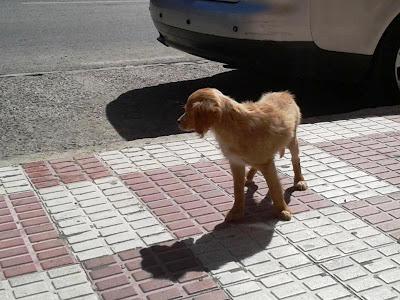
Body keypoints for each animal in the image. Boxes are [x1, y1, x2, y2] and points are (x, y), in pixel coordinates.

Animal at [179, 88, 310, 221]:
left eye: (189, 110)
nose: (178, 121)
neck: (231, 125)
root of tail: (284, 93)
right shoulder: (236, 163)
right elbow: (237, 189)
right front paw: (236, 211)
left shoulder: (266, 163)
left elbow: (275, 188)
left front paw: (282, 210)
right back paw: (249, 176)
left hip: (292, 141)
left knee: (295, 159)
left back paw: (299, 180)